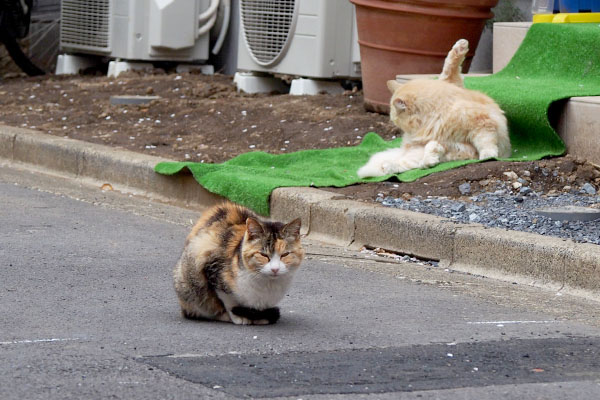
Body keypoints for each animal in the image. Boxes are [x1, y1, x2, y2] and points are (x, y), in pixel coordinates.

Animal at [173, 203, 304, 324]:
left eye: (285, 255)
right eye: (263, 255)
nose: (275, 269)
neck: (268, 285)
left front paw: (259, 317)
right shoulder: (212, 266)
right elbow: (229, 302)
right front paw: (238, 317)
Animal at [356, 39, 510, 178]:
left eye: (395, 118)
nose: (397, 125)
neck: (438, 112)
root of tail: (404, 147)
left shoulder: (482, 123)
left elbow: (485, 141)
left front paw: (488, 155)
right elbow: (449, 68)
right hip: (416, 152)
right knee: (407, 164)